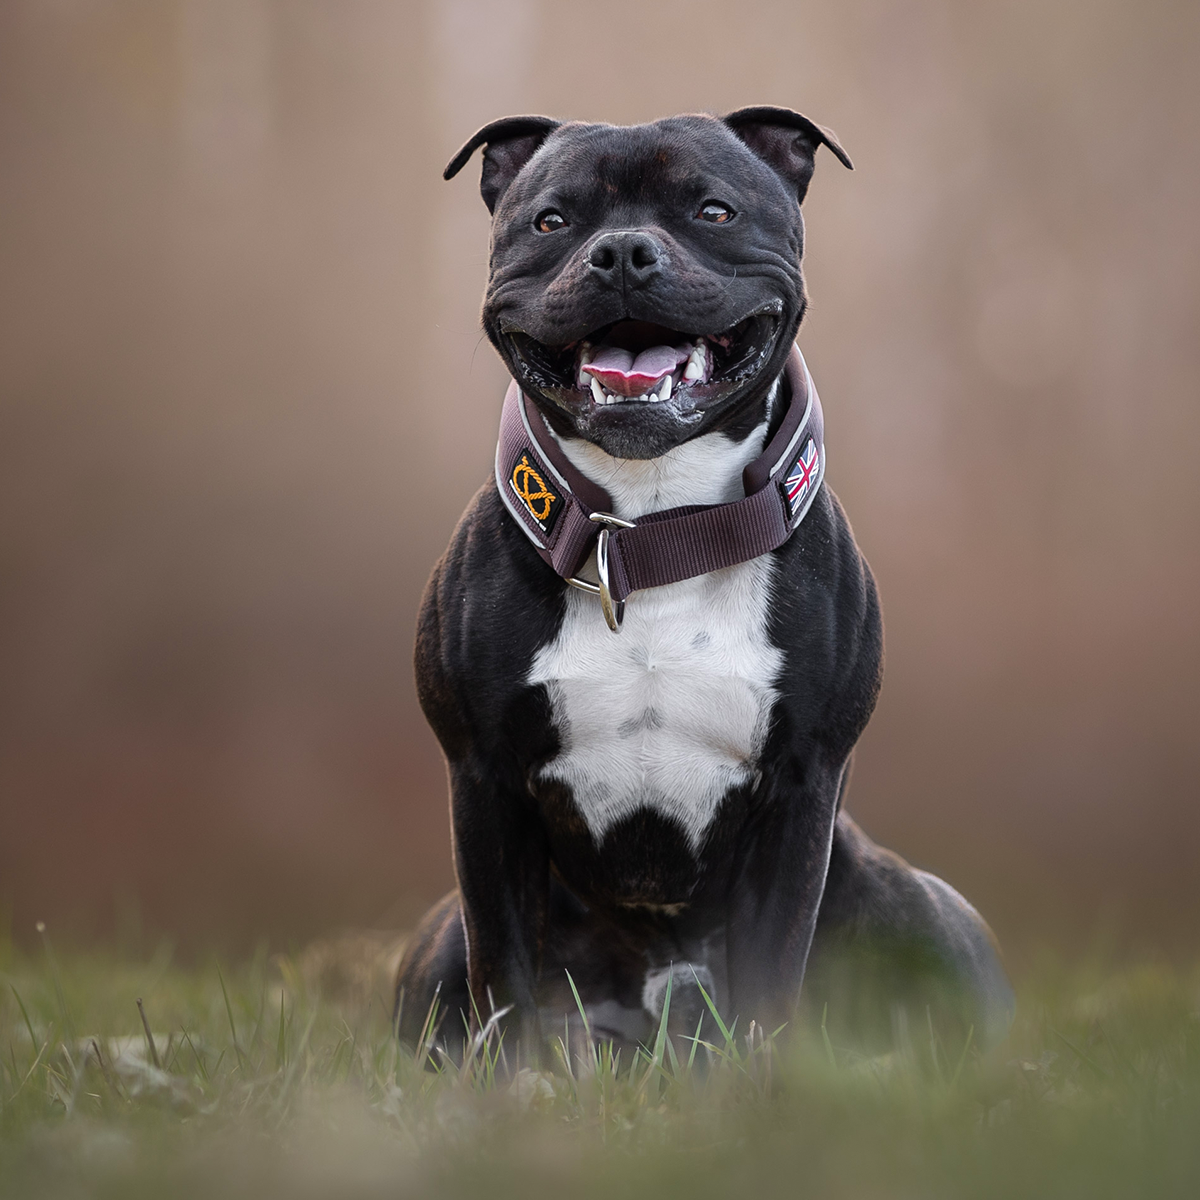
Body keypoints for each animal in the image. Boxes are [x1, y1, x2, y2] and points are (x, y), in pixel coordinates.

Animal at [396, 110, 1012, 1060]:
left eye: (714, 211)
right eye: (551, 221)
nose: (622, 252)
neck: (657, 531)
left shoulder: (801, 788)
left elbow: (771, 972)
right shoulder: (484, 780)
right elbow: (503, 973)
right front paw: (510, 1083)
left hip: (925, 916)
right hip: (436, 954)